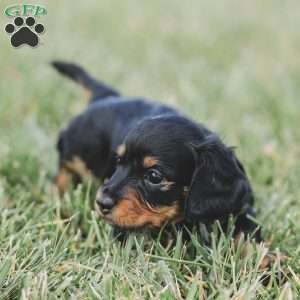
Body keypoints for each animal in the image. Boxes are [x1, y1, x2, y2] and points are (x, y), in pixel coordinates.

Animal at [52, 62, 258, 240]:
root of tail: (107, 96)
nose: (101, 203)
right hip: (78, 150)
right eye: (118, 162)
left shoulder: (243, 212)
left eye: (154, 176)